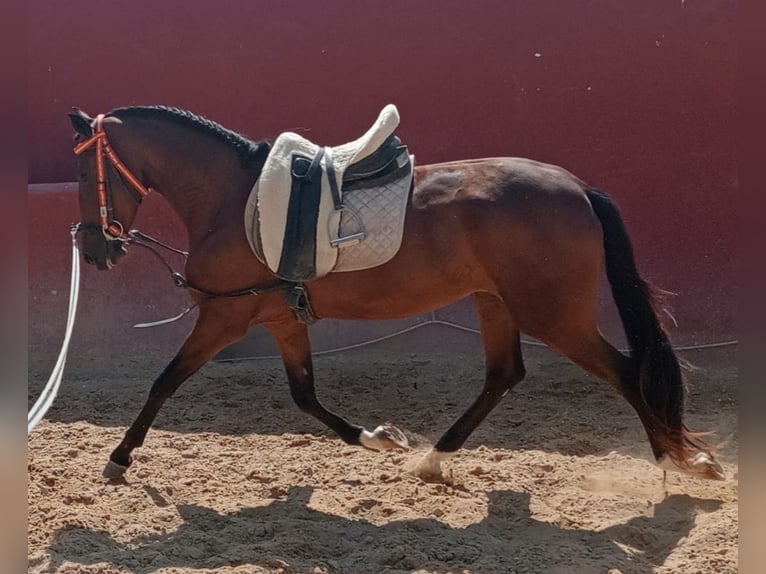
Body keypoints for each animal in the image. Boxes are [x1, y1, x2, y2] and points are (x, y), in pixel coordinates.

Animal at [67, 106, 728, 484]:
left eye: (81, 174)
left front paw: (119, 458)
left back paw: (677, 460)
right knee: (503, 375)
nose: (96, 248)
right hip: (496, 302)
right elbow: (305, 396)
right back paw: (434, 457)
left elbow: (164, 382)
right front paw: (378, 438)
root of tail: (578, 188)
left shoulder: (224, 317)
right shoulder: (282, 318)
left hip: (554, 315)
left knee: (627, 372)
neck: (237, 200)